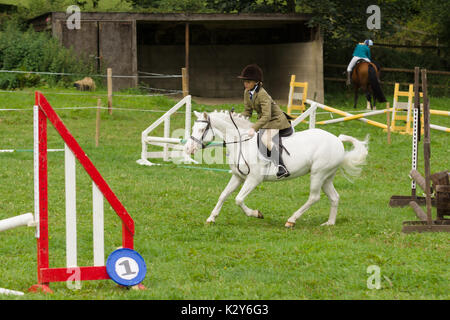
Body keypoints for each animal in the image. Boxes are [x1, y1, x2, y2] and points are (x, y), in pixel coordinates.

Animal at [184, 110, 370, 228]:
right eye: (193, 128)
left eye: (202, 129)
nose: (188, 149)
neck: (242, 143)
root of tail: (337, 140)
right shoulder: (238, 177)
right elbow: (223, 195)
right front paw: (211, 218)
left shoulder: (254, 179)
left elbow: (238, 199)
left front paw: (256, 214)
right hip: (326, 177)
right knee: (334, 197)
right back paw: (329, 223)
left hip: (318, 174)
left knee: (314, 197)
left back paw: (291, 220)